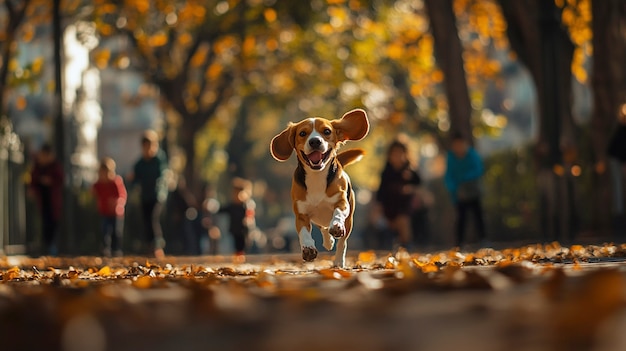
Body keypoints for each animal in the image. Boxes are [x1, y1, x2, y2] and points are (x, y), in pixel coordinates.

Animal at [266, 108, 366, 268]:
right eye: (302, 133)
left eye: (326, 131)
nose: (315, 141)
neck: (317, 175)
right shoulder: (301, 214)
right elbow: (304, 233)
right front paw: (308, 248)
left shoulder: (342, 203)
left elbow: (338, 214)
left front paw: (336, 225)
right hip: (318, 218)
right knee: (323, 228)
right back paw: (328, 241)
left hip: (349, 221)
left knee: (342, 242)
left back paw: (338, 261)